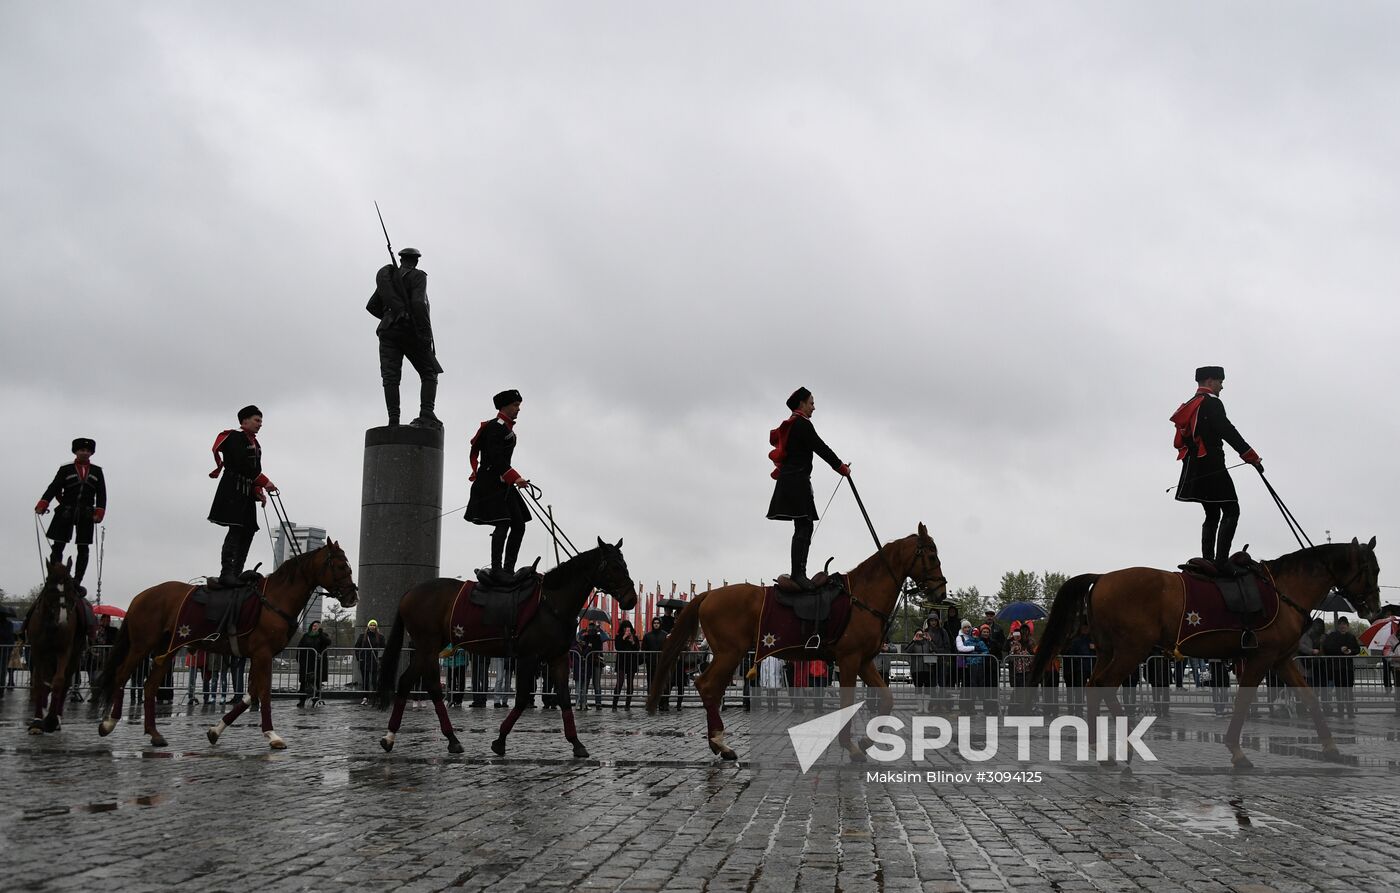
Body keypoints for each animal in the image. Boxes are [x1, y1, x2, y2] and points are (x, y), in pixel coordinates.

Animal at [20, 562, 85, 739]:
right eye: (50, 587)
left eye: (70, 588)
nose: (62, 620)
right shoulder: (37, 652)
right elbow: (39, 683)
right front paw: (37, 722)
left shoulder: (64, 651)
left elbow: (58, 682)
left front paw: (50, 720)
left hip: (74, 656)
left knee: (65, 683)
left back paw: (56, 718)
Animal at [91, 543, 355, 750]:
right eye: (341, 566)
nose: (353, 596)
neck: (274, 600)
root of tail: (140, 596)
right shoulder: (263, 654)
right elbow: (264, 693)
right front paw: (272, 734)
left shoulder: (259, 656)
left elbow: (251, 694)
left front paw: (216, 730)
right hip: (141, 645)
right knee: (122, 674)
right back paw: (108, 723)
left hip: (168, 649)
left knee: (150, 685)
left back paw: (154, 734)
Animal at [375, 537, 632, 761]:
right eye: (615, 566)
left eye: (625, 564)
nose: (632, 598)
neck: (551, 603)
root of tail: (409, 593)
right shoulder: (529, 657)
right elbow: (522, 698)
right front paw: (500, 740)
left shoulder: (558, 658)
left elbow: (564, 698)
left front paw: (576, 743)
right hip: (428, 645)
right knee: (433, 687)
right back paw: (451, 738)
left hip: (426, 647)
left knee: (406, 682)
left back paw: (391, 736)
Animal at [646, 526, 952, 761]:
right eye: (932, 555)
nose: (941, 590)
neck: (861, 598)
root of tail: (709, 595)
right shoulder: (849, 660)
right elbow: (848, 702)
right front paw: (850, 746)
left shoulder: (865, 661)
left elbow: (887, 699)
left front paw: (865, 742)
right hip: (729, 653)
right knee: (708, 687)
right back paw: (721, 744)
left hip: (727, 655)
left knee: (709, 688)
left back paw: (718, 744)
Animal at [1030, 537, 1377, 772]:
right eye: (1370, 568)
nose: (1373, 608)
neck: (1283, 591)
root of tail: (1102, 577)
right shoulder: (1261, 658)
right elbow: (1243, 703)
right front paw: (1237, 751)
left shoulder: (1281, 660)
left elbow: (1310, 698)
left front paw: (1331, 749)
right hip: (1132, 650)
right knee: (1104, 685)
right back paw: (1124, 746)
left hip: (1109, 650)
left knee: (1093, 685)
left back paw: (1099, 749)